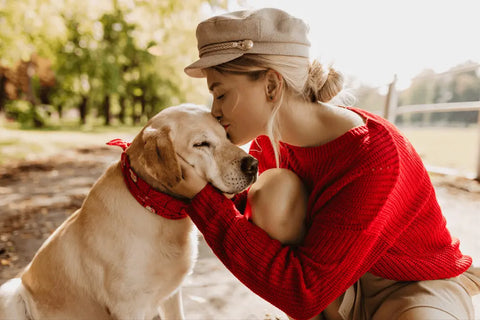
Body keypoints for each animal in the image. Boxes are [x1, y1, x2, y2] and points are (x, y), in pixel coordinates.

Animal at [0, 104, 258, 318]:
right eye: (201, 144)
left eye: (226, 136)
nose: (253, 165)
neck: (154, 206)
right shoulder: (128, 307)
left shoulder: (171, 296)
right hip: (11, 291)